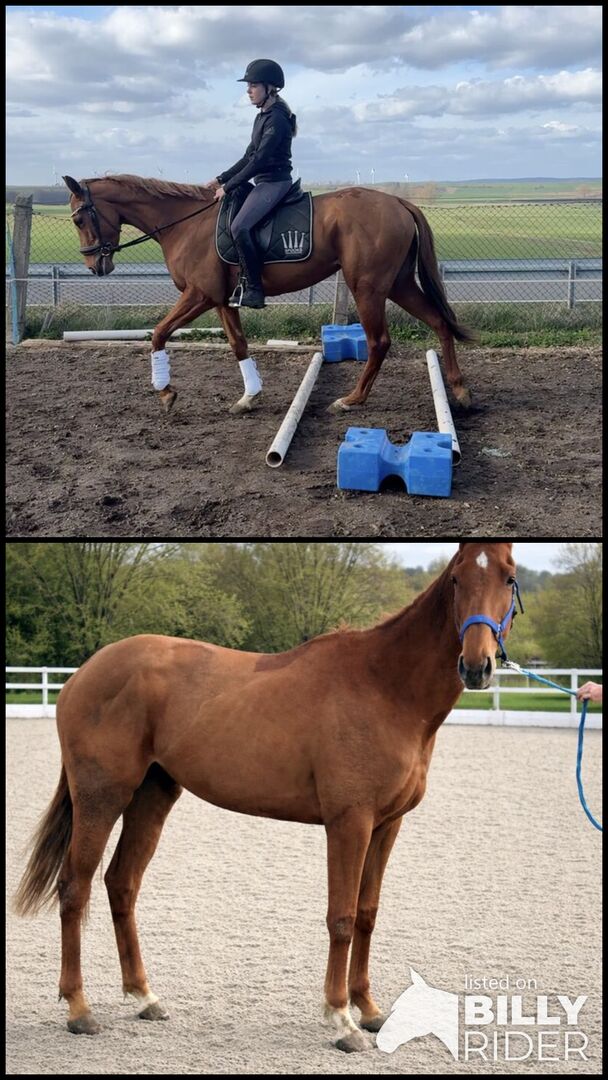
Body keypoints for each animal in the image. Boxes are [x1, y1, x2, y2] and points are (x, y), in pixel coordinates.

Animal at [14, 542, 520, 1053]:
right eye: (456, 578)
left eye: (508, 577)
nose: (476, 665)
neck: (385, 686)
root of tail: (81, 675)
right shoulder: (349, 821)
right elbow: (341, 916)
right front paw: (342, 1020)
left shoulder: (386, 825)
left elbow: (367, 914)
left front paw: (370, 1010)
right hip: (101, 797)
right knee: (74, 888)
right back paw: (79, 1009)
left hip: (152, 796)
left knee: (121, 883)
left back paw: (144, 997)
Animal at [62, 174, 475, 416]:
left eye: (79, 219)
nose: (95, 266)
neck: (185, 224)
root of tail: (398, 202)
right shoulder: (221, 300)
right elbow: (238, 345)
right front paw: (249, 396)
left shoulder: (199, 295)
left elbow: (160, 333)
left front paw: (165, 392)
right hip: (399, 283)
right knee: (439, 322)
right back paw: (459, 391)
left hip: (368, 287)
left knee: (379, 341)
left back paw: (352, 399)